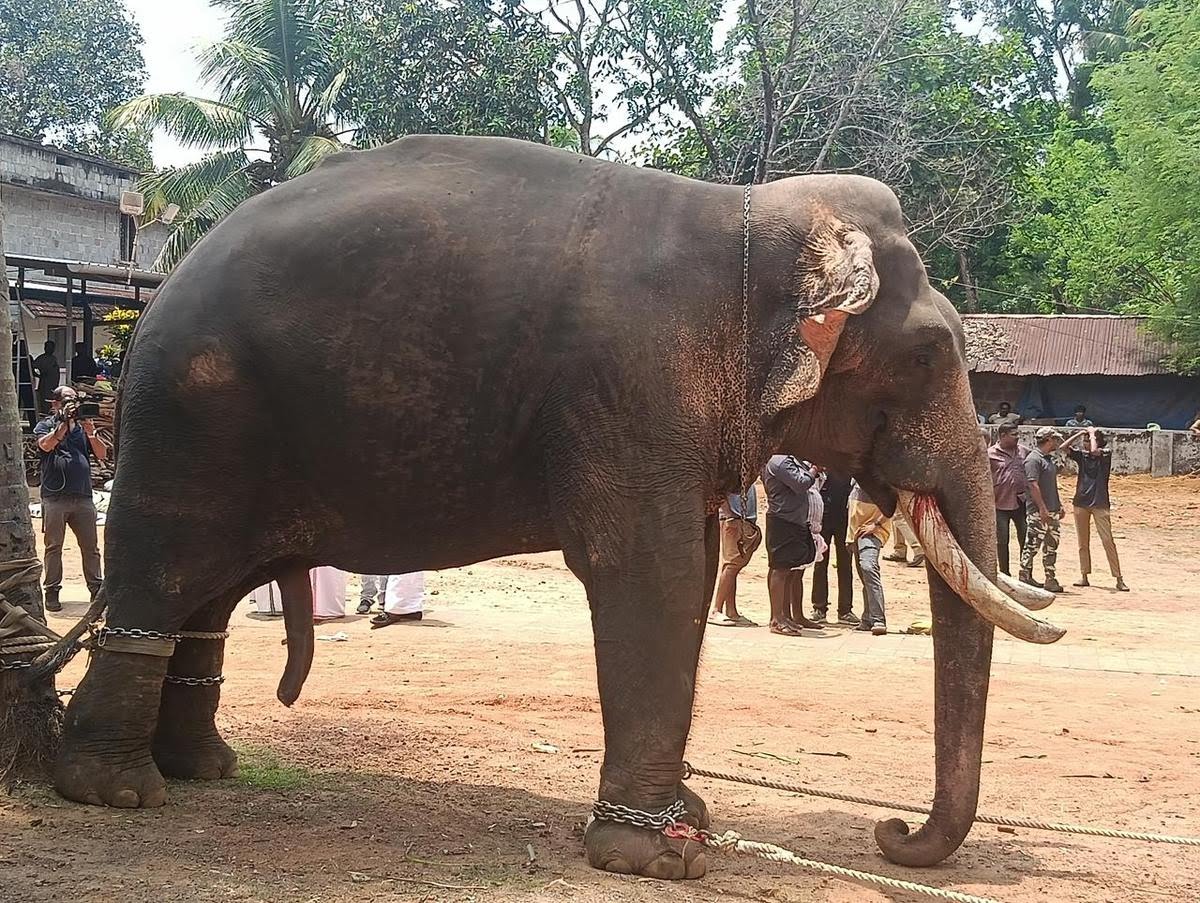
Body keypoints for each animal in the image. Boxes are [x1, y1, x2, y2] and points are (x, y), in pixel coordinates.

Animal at [39, 135, 1063, 880]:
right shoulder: (632, 389)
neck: (750, 211)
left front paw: (689, 820)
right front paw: (653, 857)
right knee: (164, 577)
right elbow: (652, 576)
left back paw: (200, 769)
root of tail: (151, 300)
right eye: (930, 353)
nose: (892, 834)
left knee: (203, 597)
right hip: (192, 422)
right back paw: (117, 793)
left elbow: (687, 572)